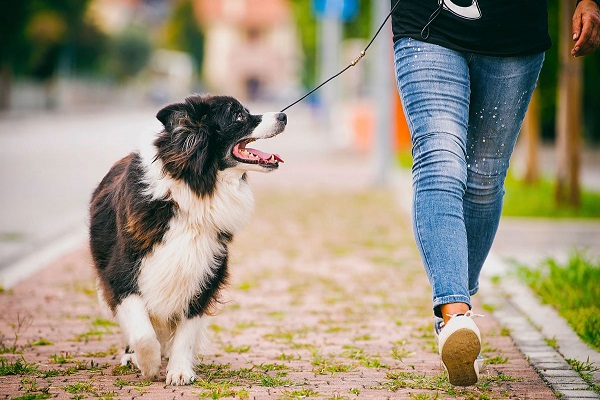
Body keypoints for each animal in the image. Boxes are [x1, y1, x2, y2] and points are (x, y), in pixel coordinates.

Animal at [88, 94, 288, 384]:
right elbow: (143, 331)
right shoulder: (122, 271)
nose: (284, 116)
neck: (195, 189)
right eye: (238, 116)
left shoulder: (204, 270)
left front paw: (180, 370)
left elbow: (187, 327)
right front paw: (147, 364)